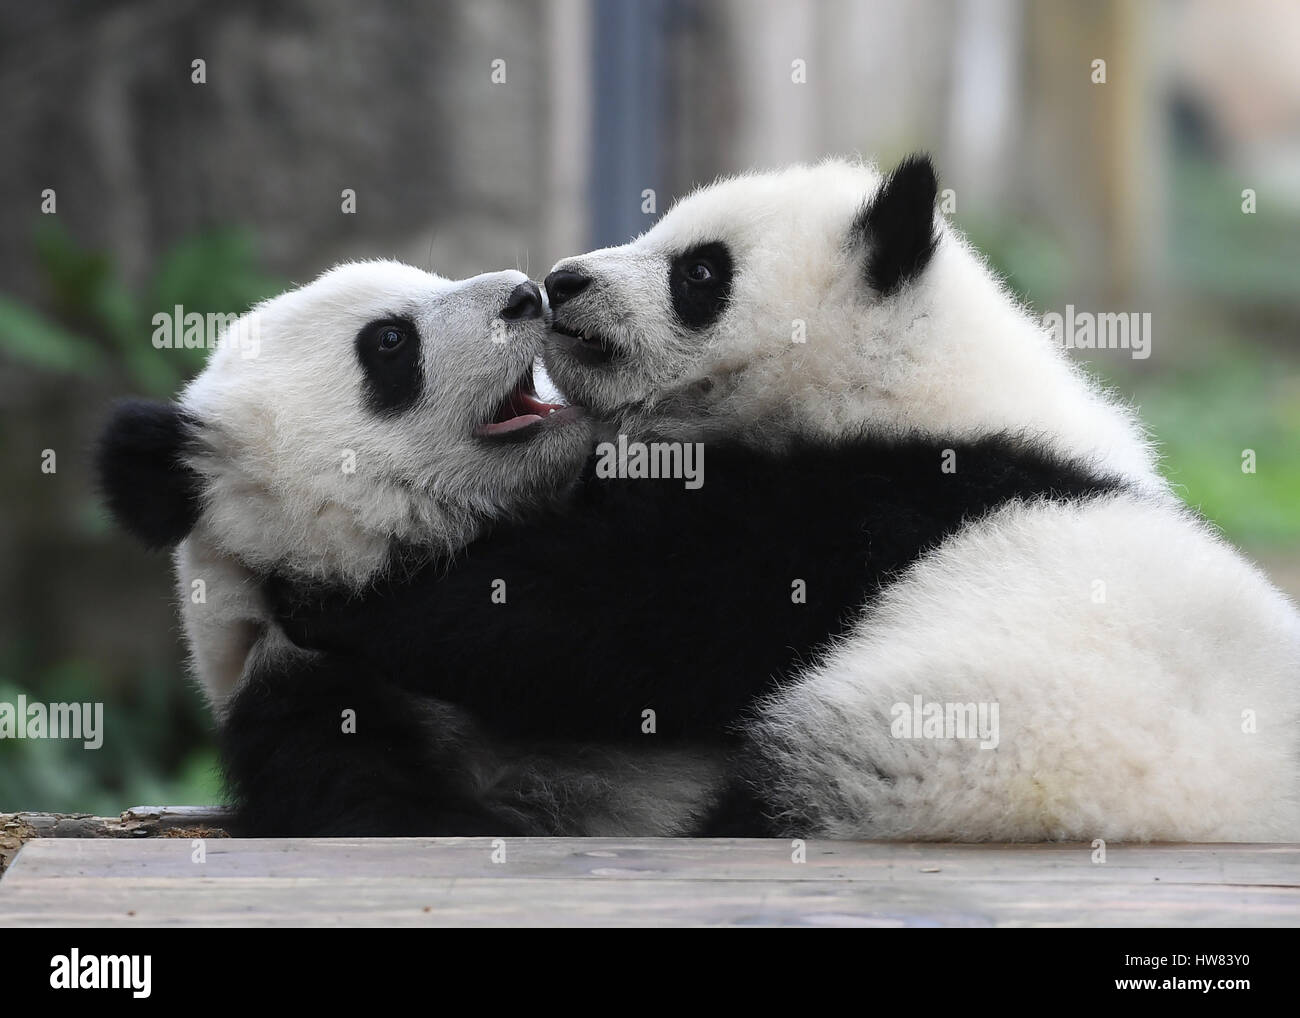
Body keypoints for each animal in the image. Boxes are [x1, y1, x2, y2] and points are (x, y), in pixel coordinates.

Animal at [279, 156, 1300, 842]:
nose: (562, 282)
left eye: (700, 272)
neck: (915, 378)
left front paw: (342, 604)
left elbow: (630, 617)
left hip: (941, 755)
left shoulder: (876, 500)